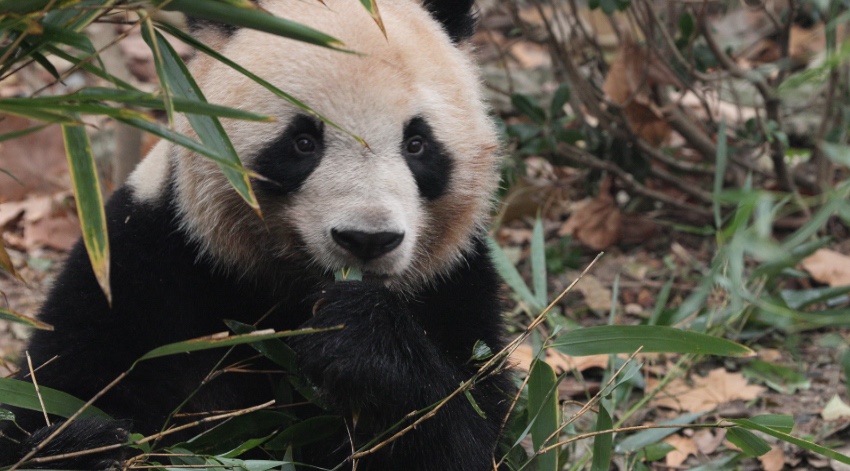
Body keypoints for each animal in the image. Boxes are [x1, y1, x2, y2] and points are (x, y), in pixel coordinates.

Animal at [0, 0, 510, 470]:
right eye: (303, 142)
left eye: (417, 143)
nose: (367, 239)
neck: (291, 288)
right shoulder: (141, 260)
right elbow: (56, 390)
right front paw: (82, 445)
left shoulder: (453, 282)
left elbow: (470, 436)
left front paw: (360, 337)